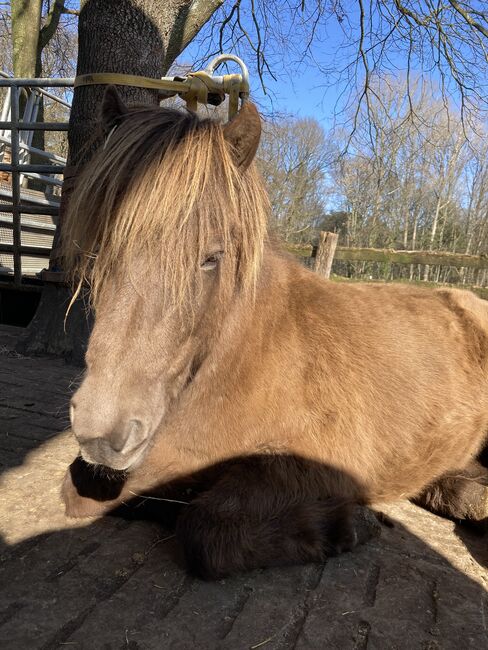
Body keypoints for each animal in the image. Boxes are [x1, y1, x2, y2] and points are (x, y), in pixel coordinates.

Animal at [60, 86, 488, 576]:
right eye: (98, 248)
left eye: (212, 257)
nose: (102, 432)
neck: (241, 360)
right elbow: (78, 492)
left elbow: (206, 529)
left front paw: (351, 525)